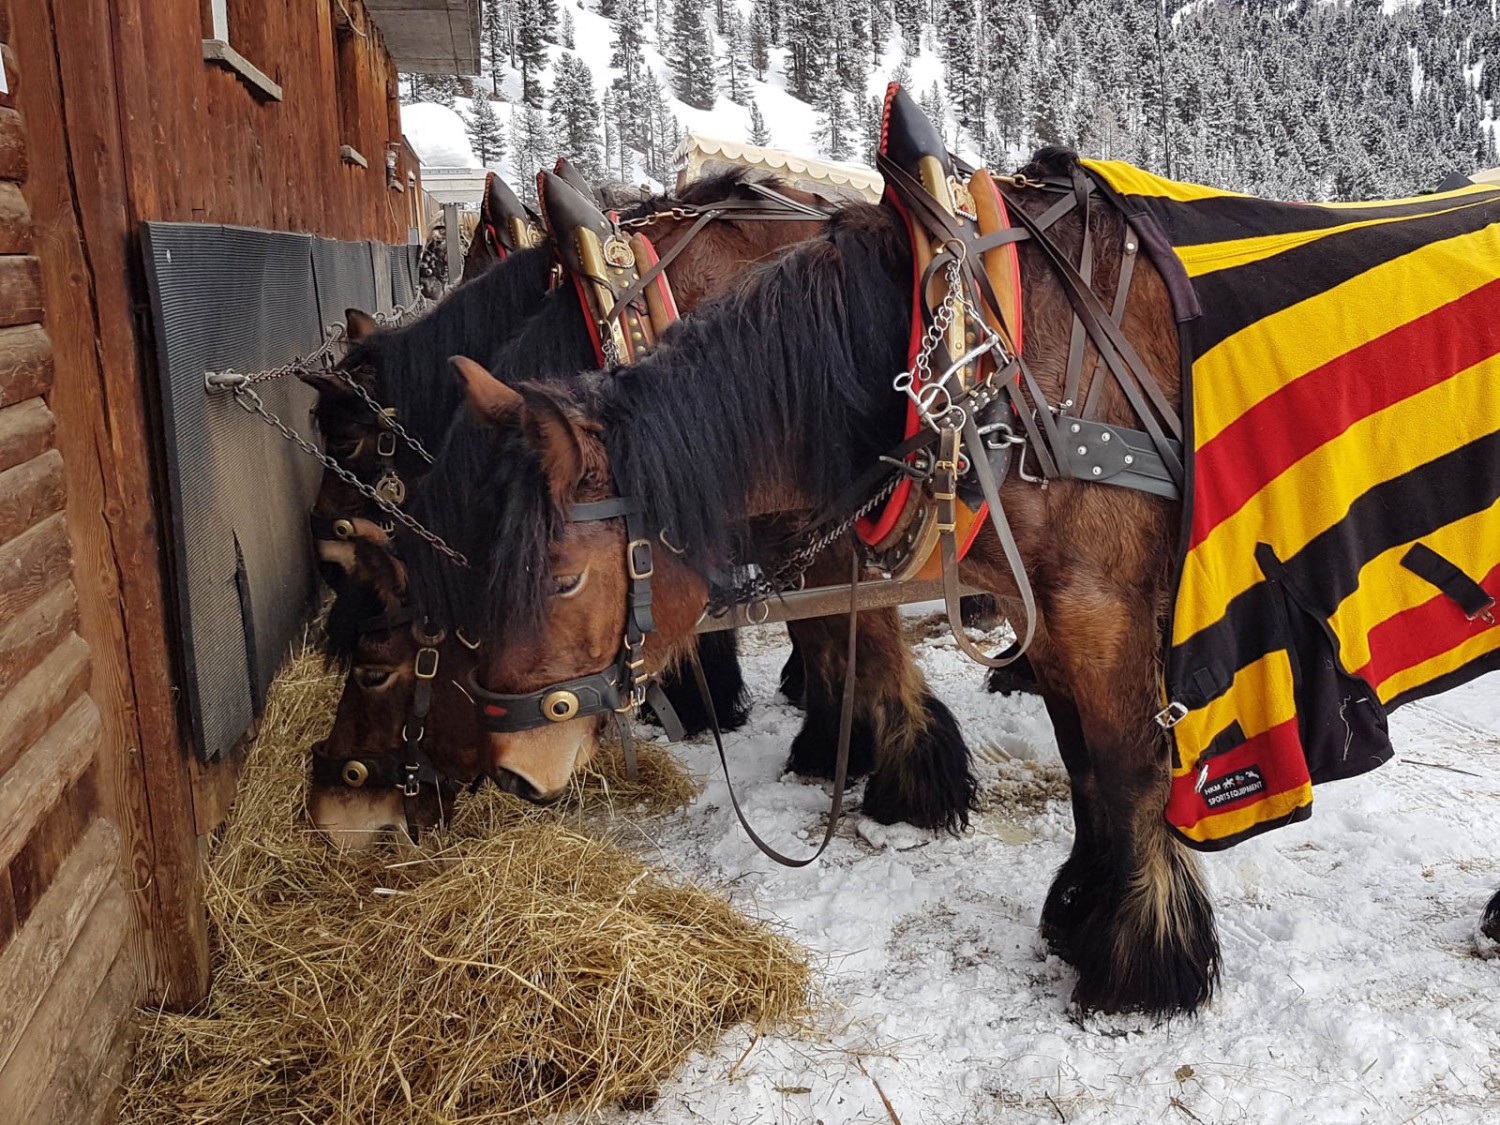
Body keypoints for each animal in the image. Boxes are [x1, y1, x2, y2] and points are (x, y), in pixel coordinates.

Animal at [408, 150, 1218, 1020]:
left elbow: (1119, 765)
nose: (508, 767)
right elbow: (859, 654)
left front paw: (1142, 959)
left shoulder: (1081, 598)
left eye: (561, 580)